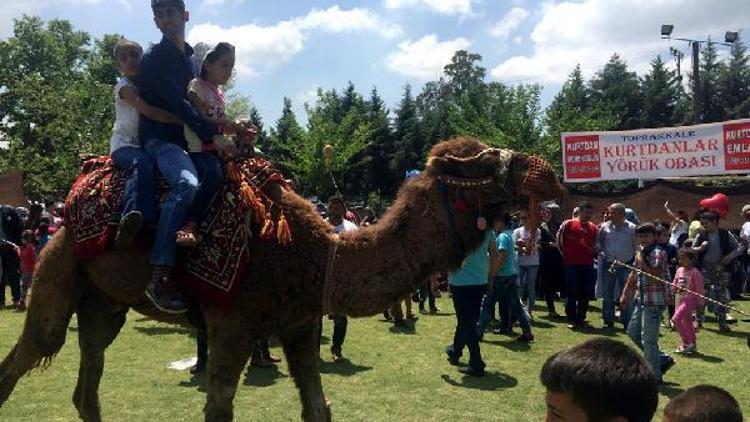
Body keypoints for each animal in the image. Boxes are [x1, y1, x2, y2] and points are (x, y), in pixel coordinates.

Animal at [0, 137, 564, 420]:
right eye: (482, 161)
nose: (547, 171)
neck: (321, 255)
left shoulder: (300, 323)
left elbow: (318, 407)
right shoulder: (232, 325)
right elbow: (218, 408)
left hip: (104, 301)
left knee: (89, 373)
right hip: (58, 265)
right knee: (30, 352)